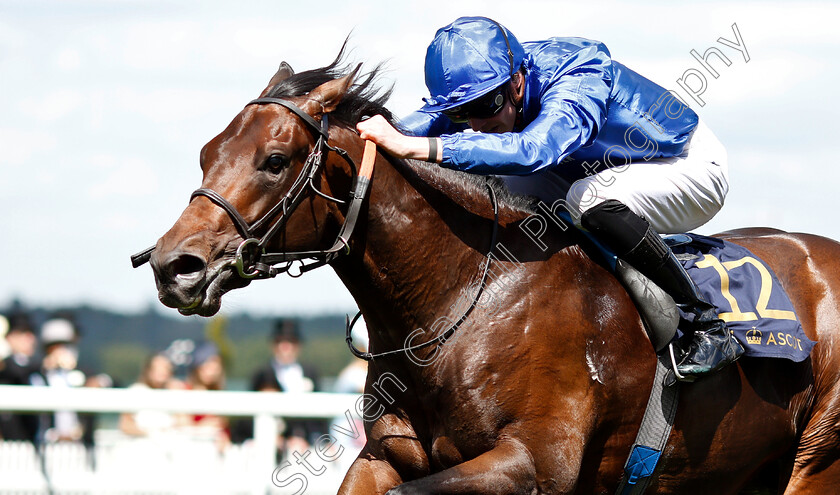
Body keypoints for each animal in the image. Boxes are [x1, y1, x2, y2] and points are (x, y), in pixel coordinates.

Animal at [146, 52, 840, 494]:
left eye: (274, 159)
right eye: (207, 153)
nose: (173, 266)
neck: (459, 302)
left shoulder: (533, 461)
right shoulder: (386, 455)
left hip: (817, 459)